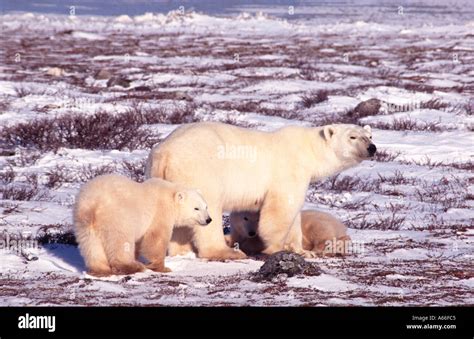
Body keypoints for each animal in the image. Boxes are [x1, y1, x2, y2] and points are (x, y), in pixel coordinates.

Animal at [146, 122, 376, 260]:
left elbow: (294, 216)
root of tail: (164, 153)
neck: (308, 150)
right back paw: (227, 251)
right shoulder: (288, 172)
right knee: (207, 208)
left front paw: (302, 251)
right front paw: (277, 247)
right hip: (201, 171)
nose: (372, 148)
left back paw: (182, 251)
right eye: (353, 137)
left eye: (370, 135)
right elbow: (281, 209)